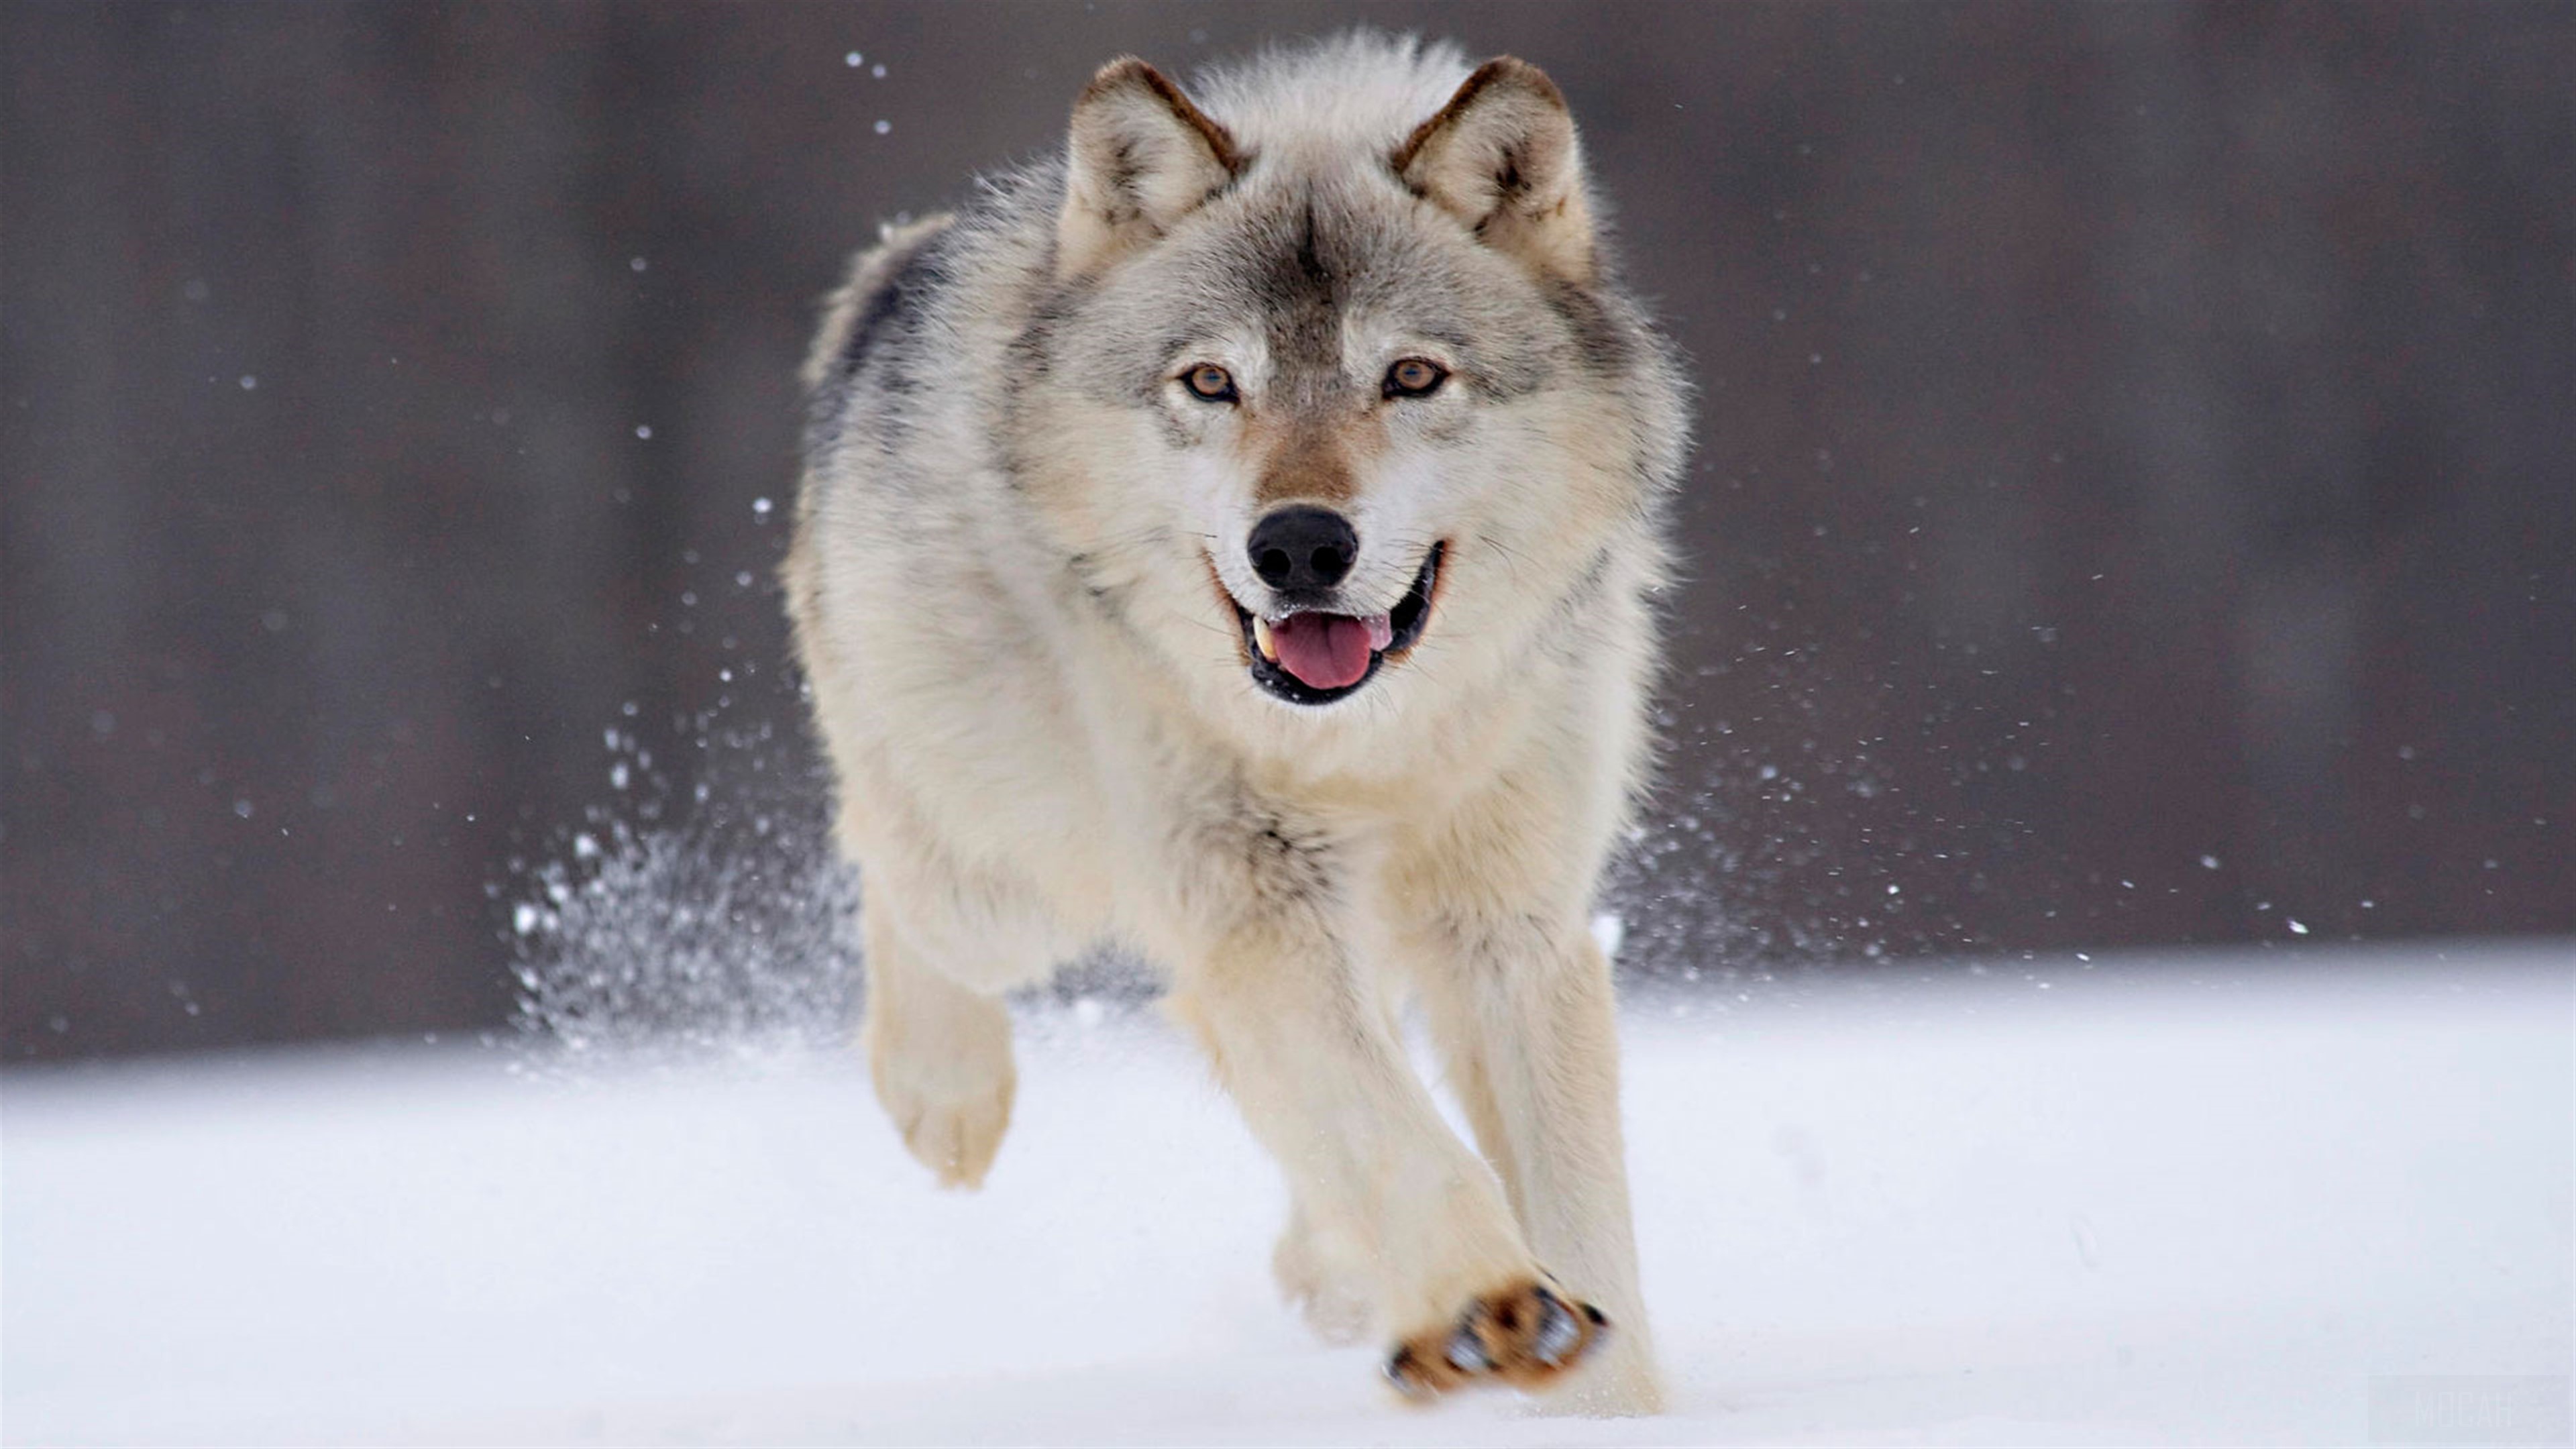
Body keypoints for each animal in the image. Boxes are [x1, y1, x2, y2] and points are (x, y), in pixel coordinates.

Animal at [783, 32, 1686, 1414]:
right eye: (1212, 382)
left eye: (1411, 376)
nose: (1300, 545)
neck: (1366, 747)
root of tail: (895, 269)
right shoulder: (1253, 899)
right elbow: (1393, 1131)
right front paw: (1483, 1304)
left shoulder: (1511, 928)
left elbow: (1578, 1217)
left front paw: (1596, 1392)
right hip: (1008, 878)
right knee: (892, 864)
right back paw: (946, 1098)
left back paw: (1338, 1275)